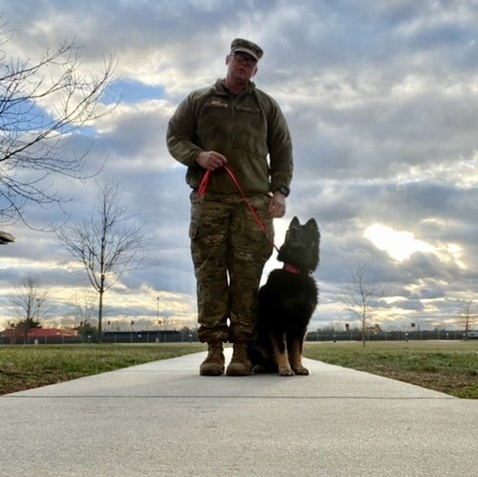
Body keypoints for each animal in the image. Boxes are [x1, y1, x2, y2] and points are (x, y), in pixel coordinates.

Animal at [250, 216, 322, 376]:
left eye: (304, 230)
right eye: (289, 229)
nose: (293, 230)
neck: (296, 272)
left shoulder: (301, 325)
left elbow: (296, 350)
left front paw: (299, 367)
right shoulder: (277, 322)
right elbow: (281, 348)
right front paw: (285, 368)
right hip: (256, 343)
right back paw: (260, 367)